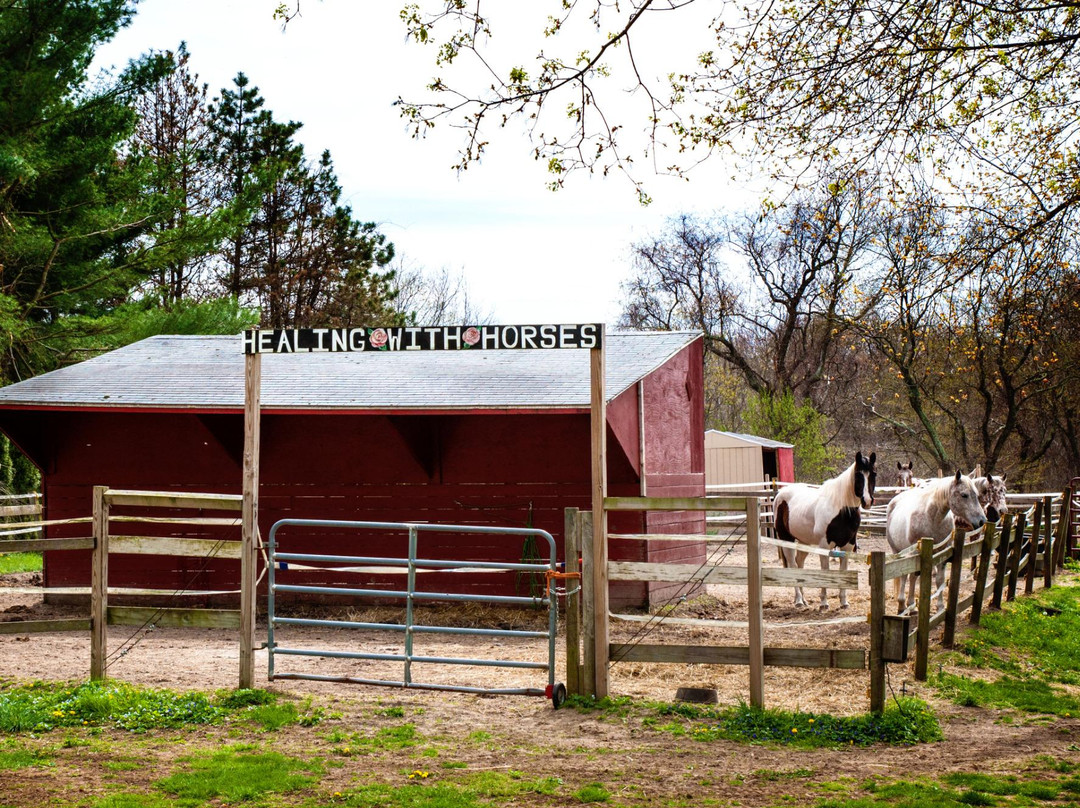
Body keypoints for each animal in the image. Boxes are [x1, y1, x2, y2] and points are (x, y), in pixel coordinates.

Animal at [773, 451, 877, 610]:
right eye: (858, 475)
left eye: (874, 474)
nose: (868, 501)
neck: (841, 510)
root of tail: (780, 494)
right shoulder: (824, 545)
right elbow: (825, 571)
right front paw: (823, 603)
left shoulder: (847, 546)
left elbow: (843, 571)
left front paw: (844, 602)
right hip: (786, 539)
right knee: (792, 564)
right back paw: (798, 601)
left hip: (804, 541)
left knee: (799, 563)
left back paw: (804, 600)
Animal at [885, 470, 987, 614]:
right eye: (964, 495)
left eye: (976, 495)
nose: (982, 521)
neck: (932, 518)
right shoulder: (916, 553)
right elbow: (913, 576)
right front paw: (908, 605)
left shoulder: (942, 553)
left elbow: (939, 580)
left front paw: (940, 607)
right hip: (899, 551)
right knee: (905, 576)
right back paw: (902, 605)